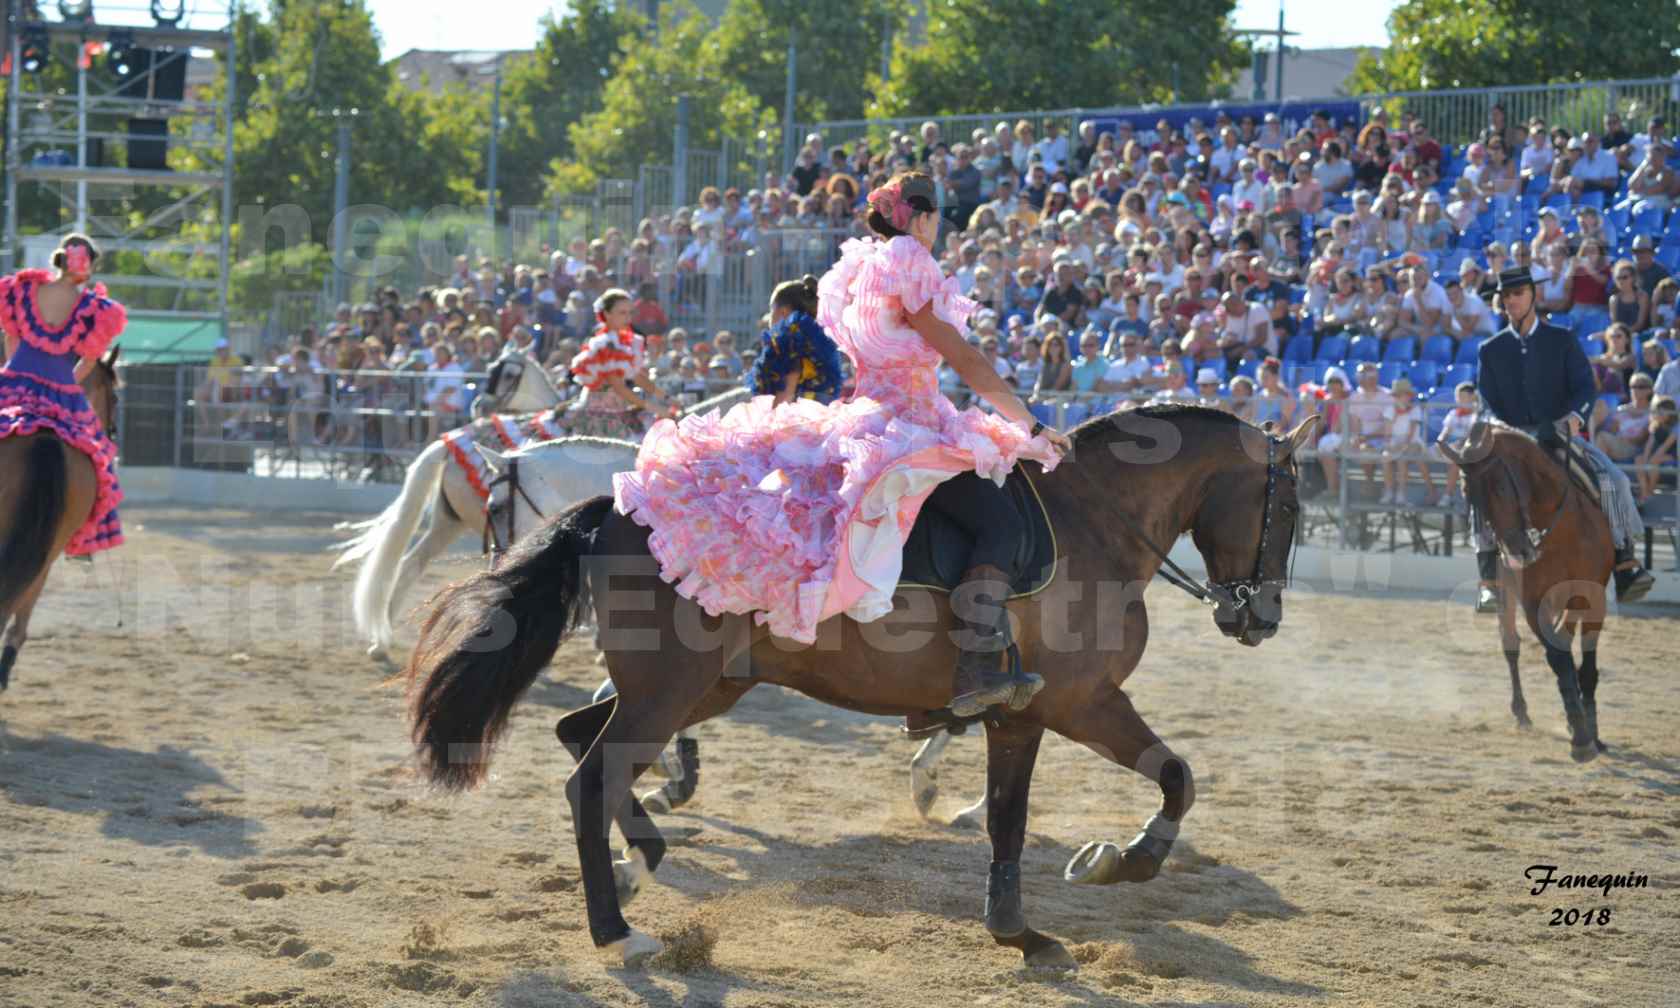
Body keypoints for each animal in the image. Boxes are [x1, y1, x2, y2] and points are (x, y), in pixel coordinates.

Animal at [403, 404, 1310, 974]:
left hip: (705, 687)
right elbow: (1146, 784)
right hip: (669, 690)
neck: (1093, 521)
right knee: (590, 775)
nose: (1260, 616)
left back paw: (646, 855)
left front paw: (1039, 915)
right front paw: (1111, 869)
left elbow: (1062, 806)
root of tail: (621, 510)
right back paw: (618, 933)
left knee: (582, 743)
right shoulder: (1077, 704)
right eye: (1291, 509)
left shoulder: (1036, 715)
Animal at [1438, 420, 1606, 762]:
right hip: (1508, 597)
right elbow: (1558, 657)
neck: (1562, 532)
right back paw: (1522, 713)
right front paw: (1580, 735)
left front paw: (1591, 730)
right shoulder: (1533, 603)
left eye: (1501, 489)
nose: (1517, 553)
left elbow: (1587, 664)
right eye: (1469, 496)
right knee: (1511, 645)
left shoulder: (1595, 598)